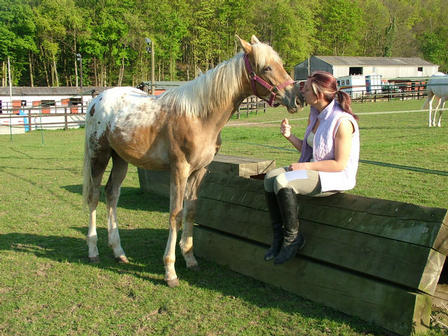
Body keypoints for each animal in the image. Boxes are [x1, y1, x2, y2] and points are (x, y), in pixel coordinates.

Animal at [82, 33, 302, 286]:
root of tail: (97, 100)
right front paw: (170, 271)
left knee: (112, 194)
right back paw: (93, 251)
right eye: (266, 67)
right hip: (99, 155)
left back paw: (119, 252)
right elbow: (175, 213)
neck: (199, 117)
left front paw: (189, 258)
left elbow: (190, 211)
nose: (296, 98)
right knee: (93, 197)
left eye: (280, 64)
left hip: (120, 159)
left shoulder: (199, 171)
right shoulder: (179, 169)